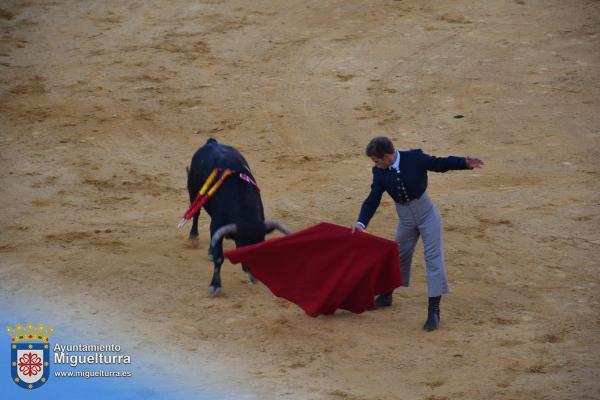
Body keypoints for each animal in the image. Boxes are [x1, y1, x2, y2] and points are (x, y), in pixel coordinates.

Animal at [188, 138, 290, 294]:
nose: (250, 269)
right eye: (241, 246)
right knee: (196, 213)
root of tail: (212, 142)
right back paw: (193, 236)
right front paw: (215, 285)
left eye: (259, 245)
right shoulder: (217, 224)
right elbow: (219, 257)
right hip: (193, 191)